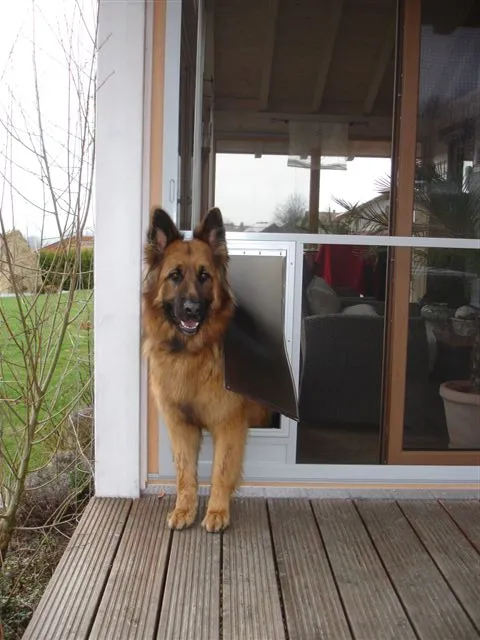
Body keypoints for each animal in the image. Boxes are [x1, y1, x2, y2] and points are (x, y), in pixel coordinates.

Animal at [142, 208, 270, 532]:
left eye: (204, 276)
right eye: (175, 276)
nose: (192, 310)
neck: (190, 354)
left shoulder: (229, 423)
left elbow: (221, 471)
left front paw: (216, 512)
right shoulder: (180, 425)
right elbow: (185, 472)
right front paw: (184, 510)